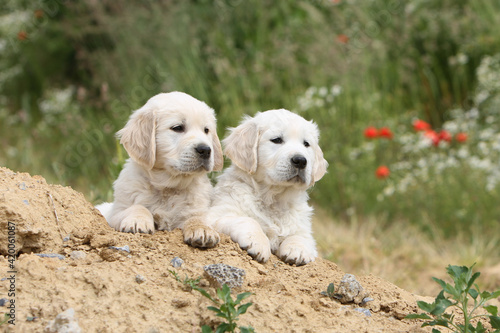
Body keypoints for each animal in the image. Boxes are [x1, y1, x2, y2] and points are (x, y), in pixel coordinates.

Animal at [97, 91, 223, 246]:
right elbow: (137, 207)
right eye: (177, 128)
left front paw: (203, 229)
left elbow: (196, 216)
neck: (167, 188)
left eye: (206, 130)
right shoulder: (115, 214)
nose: (205, 150)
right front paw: (138, 221)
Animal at [207, 109, 328, 264]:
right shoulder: (217, 215)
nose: (301, 160)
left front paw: (297, 250)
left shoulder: (304, 231)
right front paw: (257, 242)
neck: (273, 198)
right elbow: (249, 220)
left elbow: (301, 237)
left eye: (306, 144)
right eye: (277, 140)